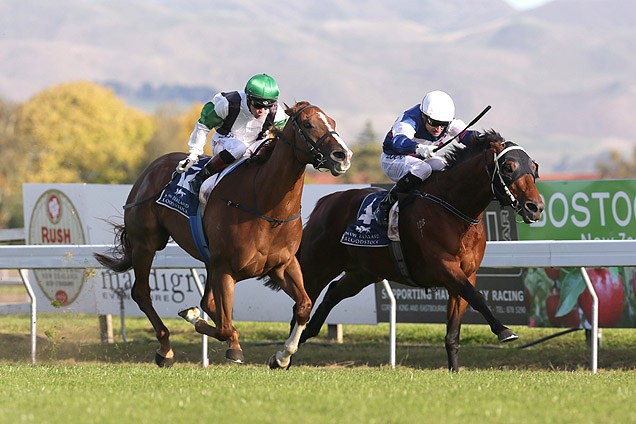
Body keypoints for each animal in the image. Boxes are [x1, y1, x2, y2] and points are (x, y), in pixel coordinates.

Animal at [95, 102, 352, 368]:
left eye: (332, 122)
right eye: (308, 124)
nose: (342, 156)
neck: (265, 207)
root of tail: (152, 167)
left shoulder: (282, 265)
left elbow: (303, 306)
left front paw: (282, 356)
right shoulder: (225, 268)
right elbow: (224, 327)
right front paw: (208, 329)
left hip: (206, 260)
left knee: (206, 302)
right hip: (146, 244)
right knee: (142, 293)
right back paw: (165, 348)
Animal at [288, 132, 540, 372]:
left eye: (534, 167)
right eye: (509, 167)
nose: (536, 207)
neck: (453, 207)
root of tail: (324, 202)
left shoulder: (466, 274)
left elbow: (454, 331)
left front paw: (455, 370)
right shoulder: (444, 266)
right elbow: (477, 297)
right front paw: (504, 330)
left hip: (362, 273)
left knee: (332, 293)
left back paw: (300, 341)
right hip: (317, 267)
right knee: (302, 303)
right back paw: (285, 355)